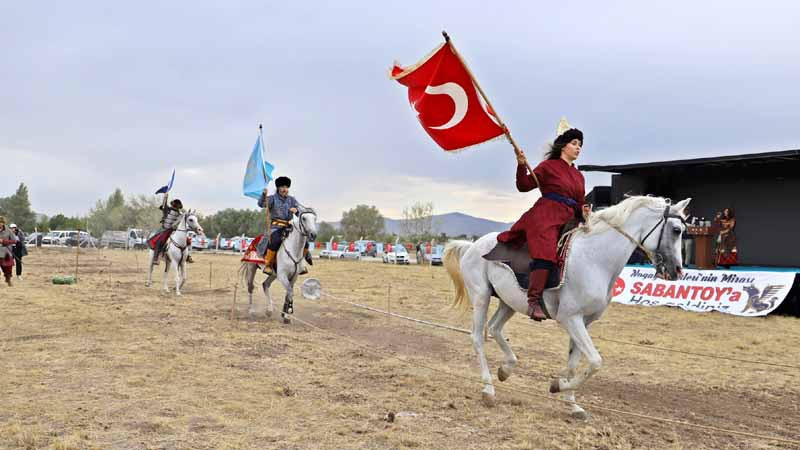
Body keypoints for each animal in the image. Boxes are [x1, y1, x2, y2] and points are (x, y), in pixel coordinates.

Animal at [444, 197, 688, 418]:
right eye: (676, 230)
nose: (677, 270)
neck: (595, 259)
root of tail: (473, 246)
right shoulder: (570, 319)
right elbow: (595, 362)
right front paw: (558, 386)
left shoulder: (584, 322)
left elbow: (574, 363)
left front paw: (572, 404)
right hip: (481, 297)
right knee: (478, 337)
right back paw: (488, 389)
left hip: (508, 302)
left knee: (494, 328)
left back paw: (506, 369)